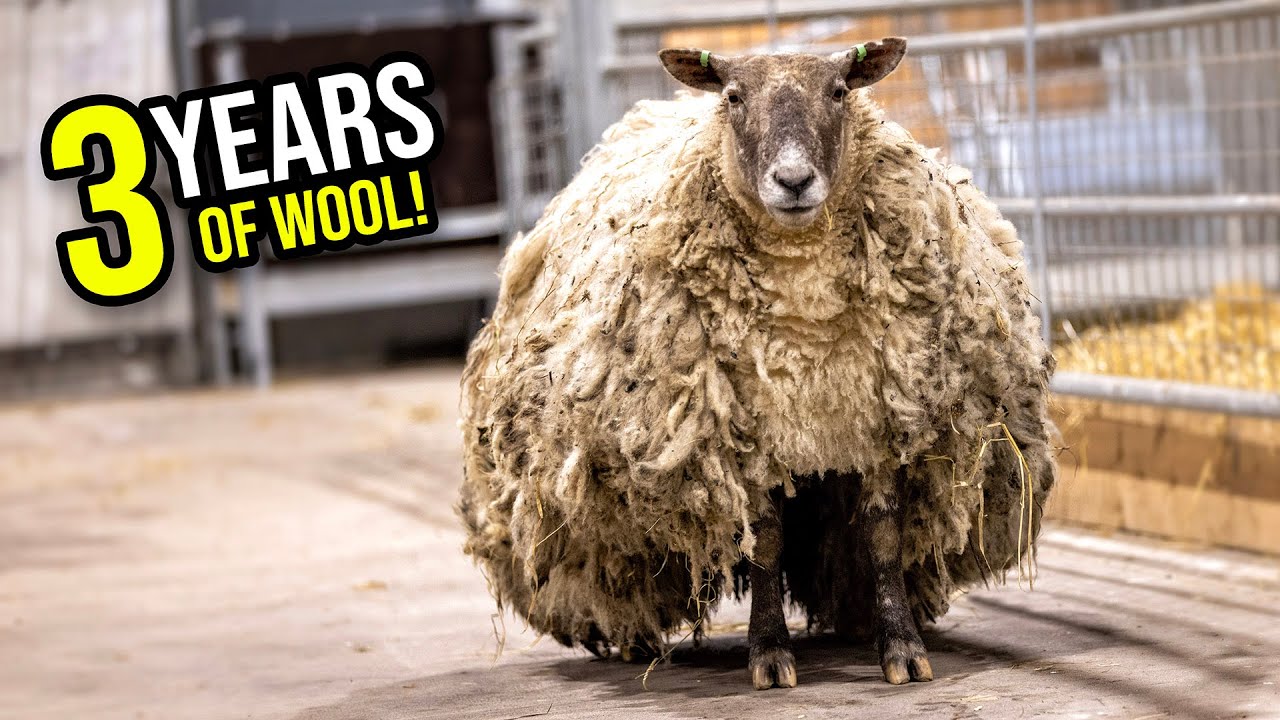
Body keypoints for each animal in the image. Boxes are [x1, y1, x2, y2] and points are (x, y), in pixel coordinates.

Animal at [457, 37, 1057, 689]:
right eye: (733, 96)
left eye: (839, 92)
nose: (793, 181)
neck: (806, 319)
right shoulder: (749, 439)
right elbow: (766, 543)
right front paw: (769, 655)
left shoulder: (879, 422)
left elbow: (883, 537)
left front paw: (900, 647)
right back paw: (632, 639)